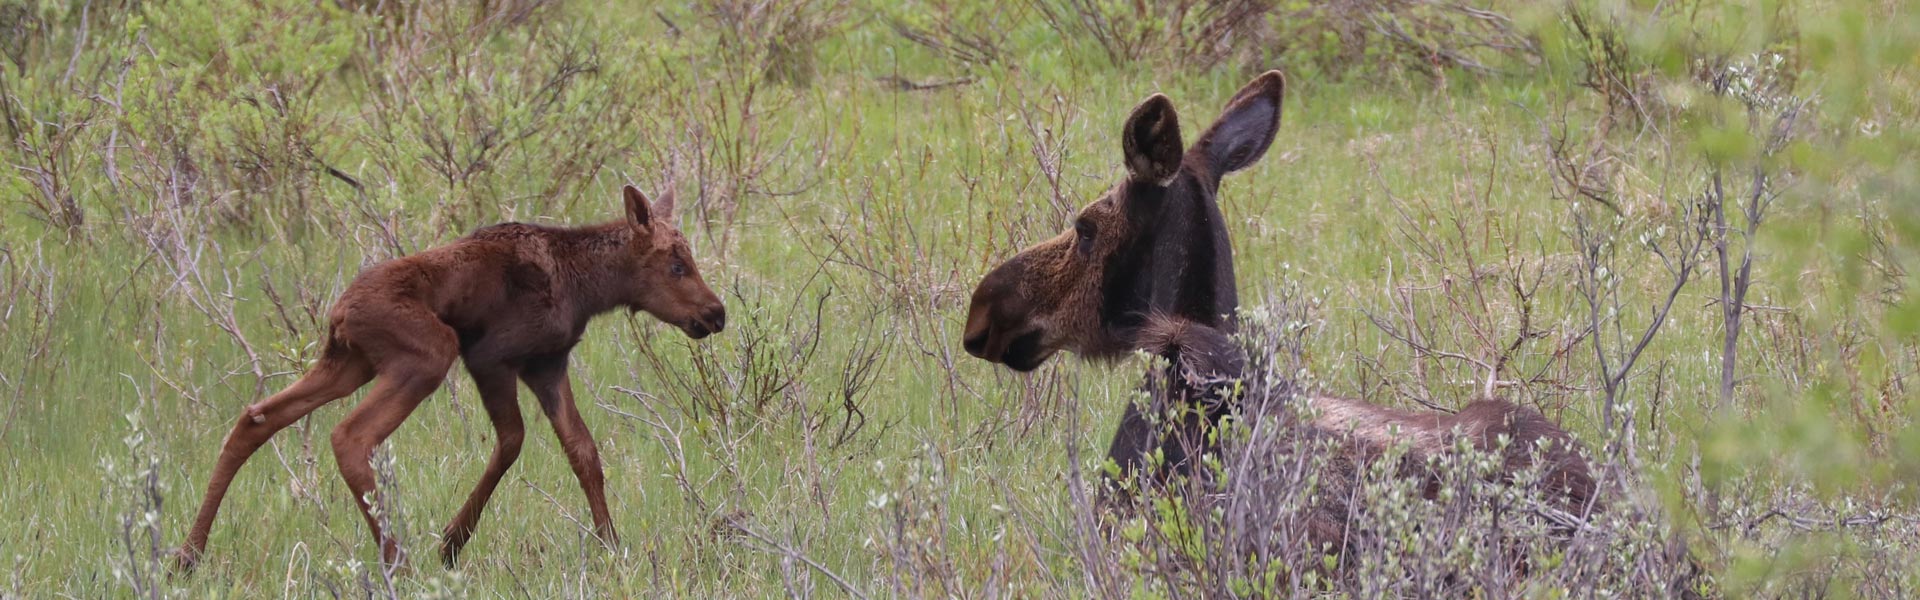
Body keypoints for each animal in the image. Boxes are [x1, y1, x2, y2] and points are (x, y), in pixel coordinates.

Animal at [170, 182, 725, 573]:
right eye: (677, 266)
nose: (716, 313)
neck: (588, 288)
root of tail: (338, 312)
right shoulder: (492, 356)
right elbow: (512, 441)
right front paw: (451, 543)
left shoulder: (547, 365)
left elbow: (583, 451)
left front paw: (611, 546)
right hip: (428, 353)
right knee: (350, 435)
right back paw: (399, 561)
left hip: (349, 363)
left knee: (256, 417)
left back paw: (187, 555)